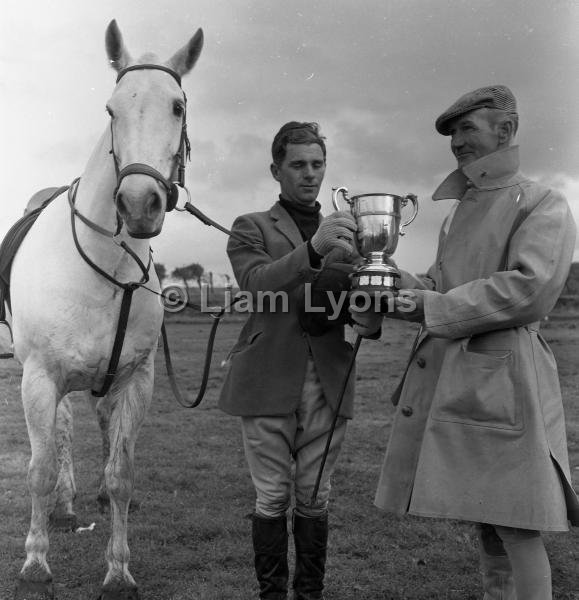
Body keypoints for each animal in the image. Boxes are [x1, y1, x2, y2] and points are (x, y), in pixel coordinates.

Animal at [9, 19, 204, 600]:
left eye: (177, 107)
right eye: (111, 109)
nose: (139, 204)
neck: (103, 265)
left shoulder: (136, 379)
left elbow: (121, 476)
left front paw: (118, 571)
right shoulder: (38, 377)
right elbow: (38, 469)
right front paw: (35, 562)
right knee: (62, 432)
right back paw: (62, 506)